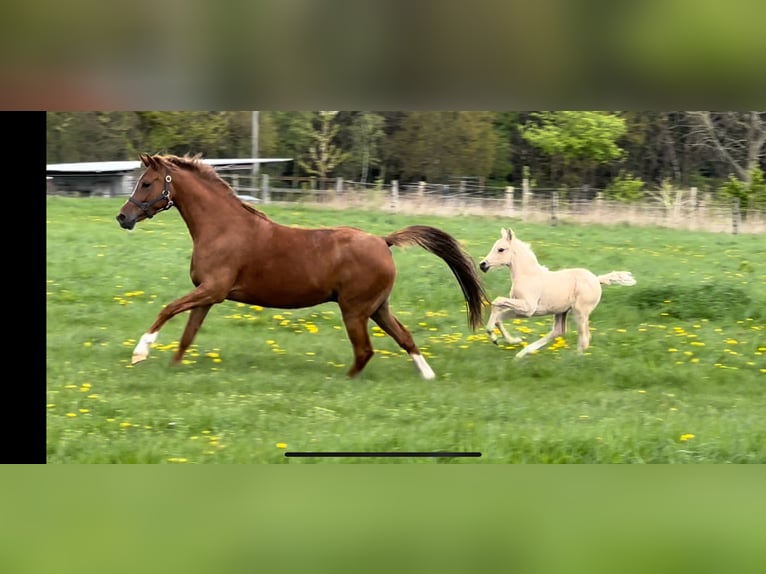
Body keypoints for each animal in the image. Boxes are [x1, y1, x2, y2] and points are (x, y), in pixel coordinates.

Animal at [114, 153, 486, 380]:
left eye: (146, 183)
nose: (123, 217)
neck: (222, 228)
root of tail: (384, 241)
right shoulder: (206, 295)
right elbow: (187, 336)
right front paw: (172, 367)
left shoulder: (214, 290)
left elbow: (167, 309)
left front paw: (139, 353)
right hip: (378, 308)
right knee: (404, 338)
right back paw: (428, 376)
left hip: (355, 311)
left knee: (365, 351)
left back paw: (344, 381)